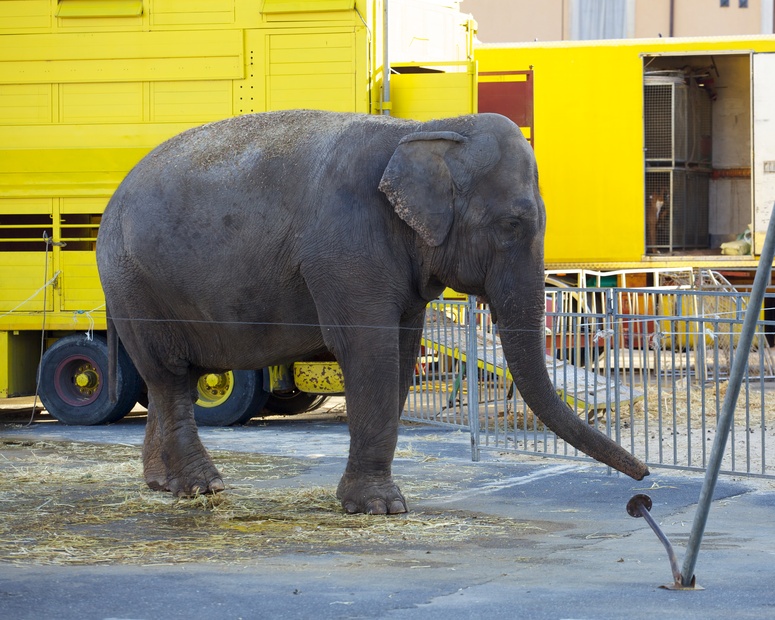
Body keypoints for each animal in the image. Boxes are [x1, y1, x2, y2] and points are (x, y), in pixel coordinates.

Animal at [95, 110, 648, 512]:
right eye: (512, 223)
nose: (644, 480)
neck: (419, 131)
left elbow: (401, 354)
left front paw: (376, 504)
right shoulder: (347, 248)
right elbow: (370, 350)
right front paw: (380, 509)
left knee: (170, 382)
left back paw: (161, 484)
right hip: (134, 283)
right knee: (170, 377)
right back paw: (203, 489)